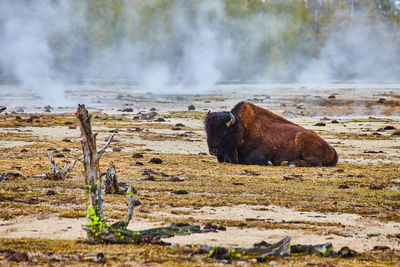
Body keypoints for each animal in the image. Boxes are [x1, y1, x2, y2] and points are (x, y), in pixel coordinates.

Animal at [205, 101, 340, 166]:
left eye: (223, 132)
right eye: (207, 131)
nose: (213, 150)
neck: (241, 128)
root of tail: (333, 150)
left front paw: (270, 162)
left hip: (302, 140)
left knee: (315, 162)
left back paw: (290, 163)